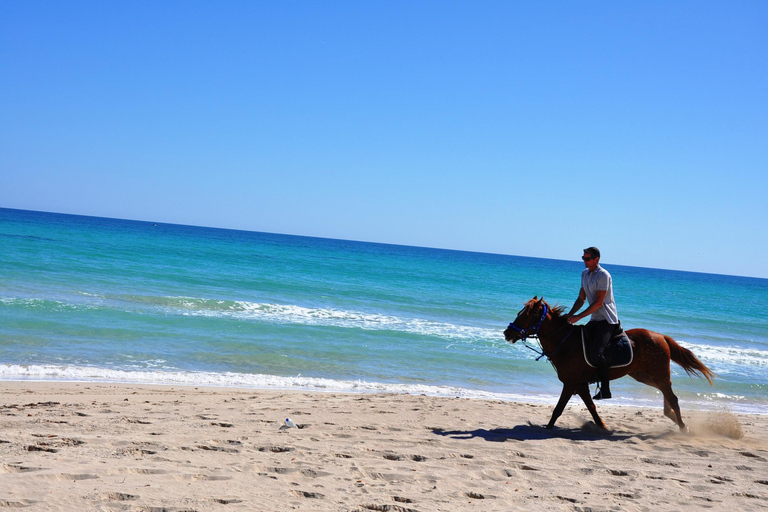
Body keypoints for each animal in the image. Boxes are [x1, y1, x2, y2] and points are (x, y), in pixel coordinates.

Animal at [504, 296, 712, 432]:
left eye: (526, 316)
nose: (507, 333)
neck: (565, 342)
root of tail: (661, 337)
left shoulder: (570, 384)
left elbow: (558, 408)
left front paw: (547, 428)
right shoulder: (580, 385)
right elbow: (592, 408)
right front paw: (602, 426)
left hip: (658, 374)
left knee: (673, 398)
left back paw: (683, 427)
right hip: (644, 375)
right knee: (667, 396)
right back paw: (672, 417)